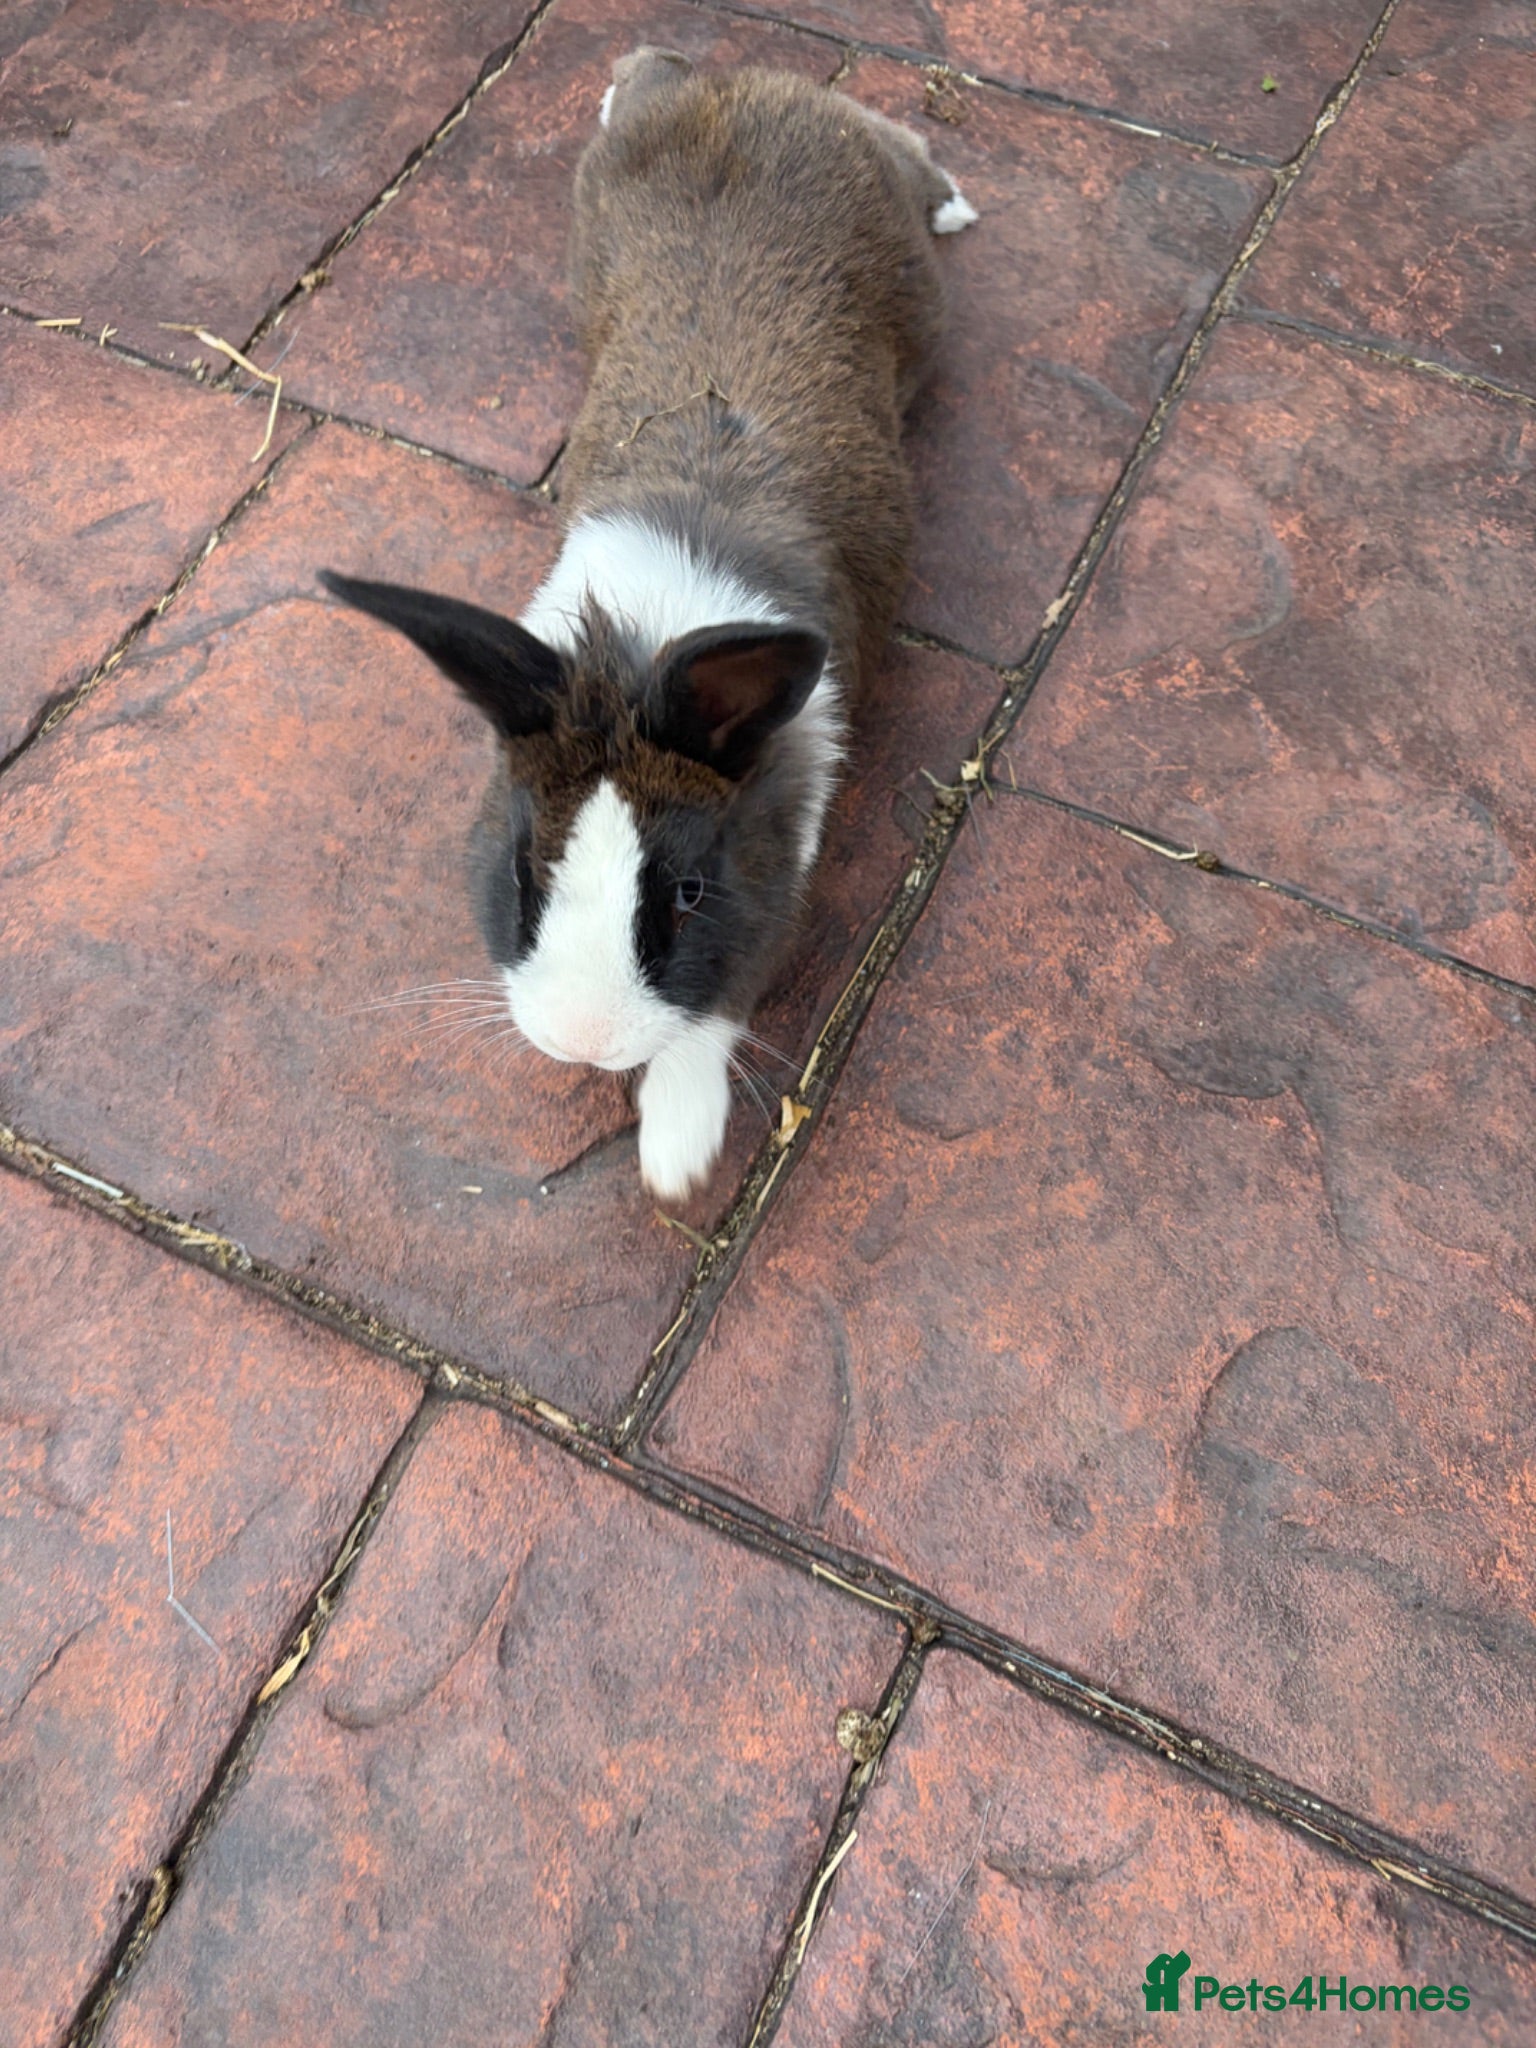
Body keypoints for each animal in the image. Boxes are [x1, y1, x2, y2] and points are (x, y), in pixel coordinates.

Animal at [321, 47, 976, 1202]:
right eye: (524, 870)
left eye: (689, 891)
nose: (584, 1042)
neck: (639, 645)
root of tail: (736, 85)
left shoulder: (776, 878)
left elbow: (717, 1008)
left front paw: (676, 1153)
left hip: (913, 280)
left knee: (899, 141)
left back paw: (953, 198)